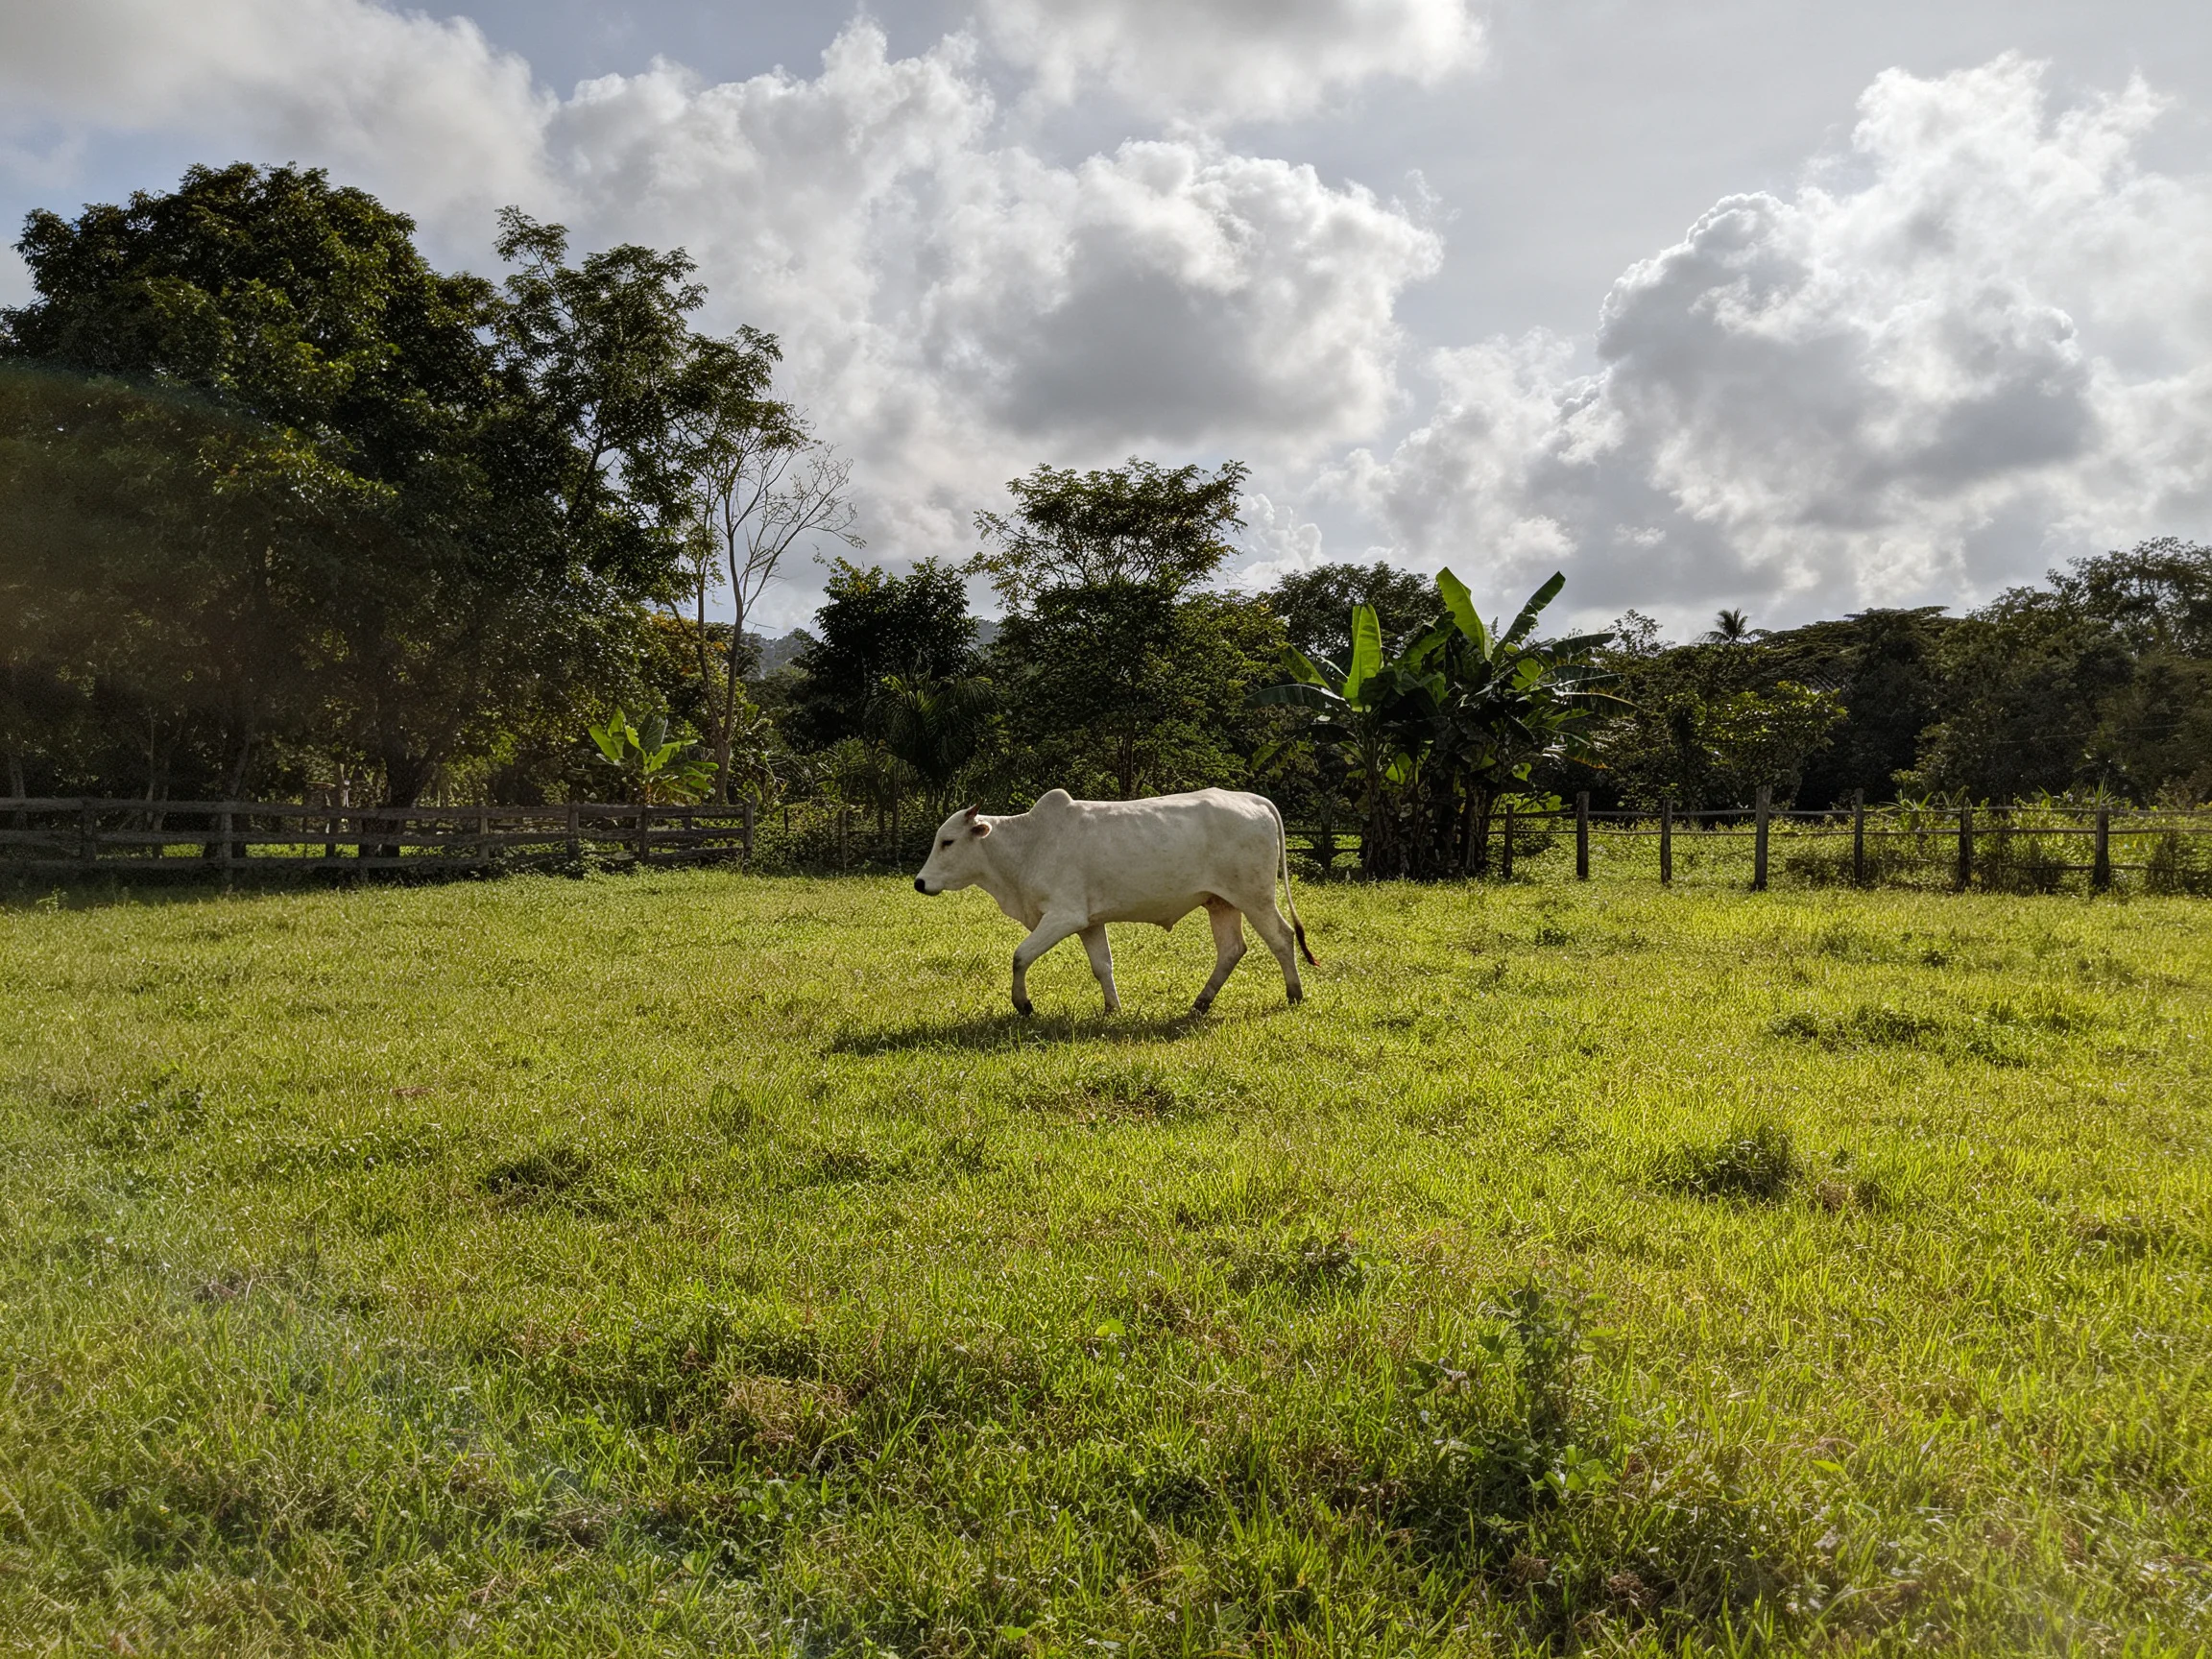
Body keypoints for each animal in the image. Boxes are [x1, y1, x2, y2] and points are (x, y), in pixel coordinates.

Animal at [912, 787, 1316, 1016]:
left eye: (948, 841)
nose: (920, 882)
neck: (1028, 844)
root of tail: (1252, 799)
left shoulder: (1065, 916)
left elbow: (1020, 955)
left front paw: (1023, 1005)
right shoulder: (1090, 922)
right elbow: (1102, 967)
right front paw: (1112, 1009)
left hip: (1255, 898)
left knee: (1282, 938)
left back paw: (1295, 994)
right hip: (1221, 902)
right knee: (1232, 950)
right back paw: (1201, 1002)